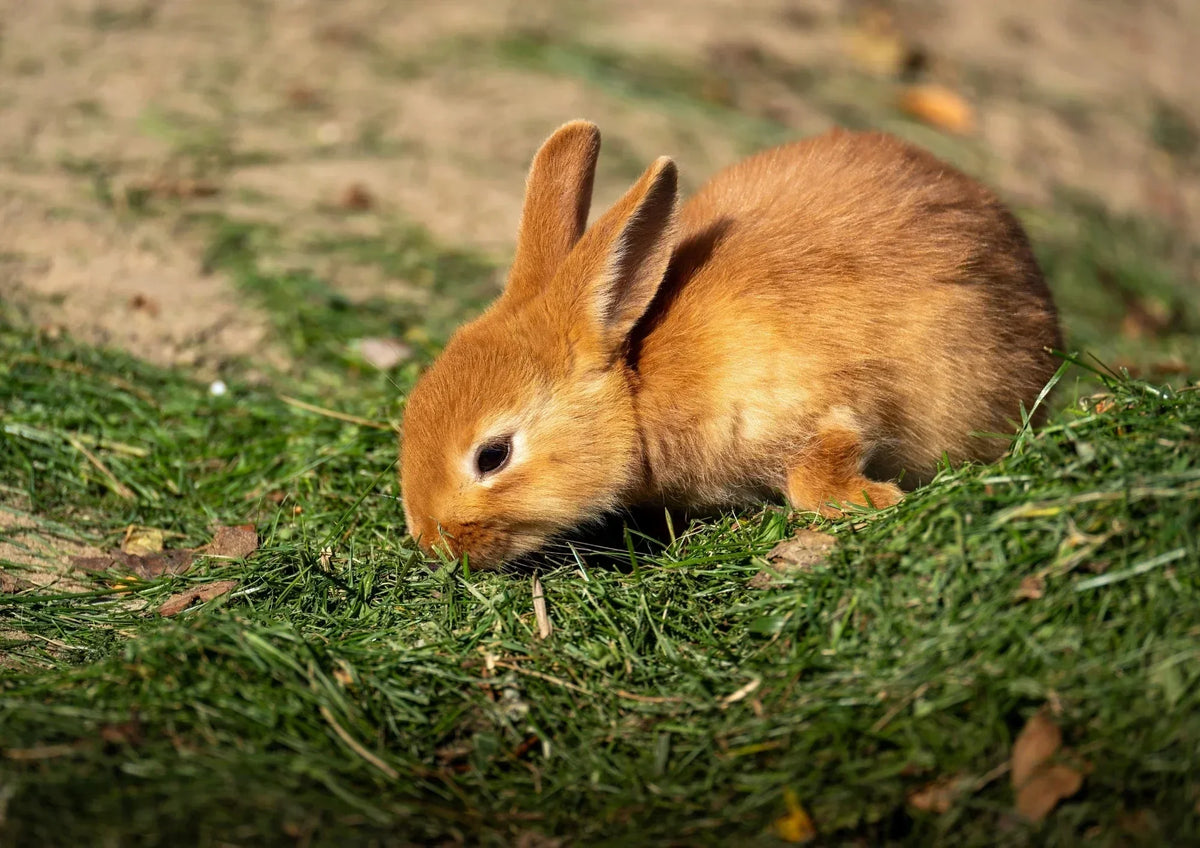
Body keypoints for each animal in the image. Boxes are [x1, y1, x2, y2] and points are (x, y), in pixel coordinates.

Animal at [400, 121, 1061, 569]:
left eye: (492, 456)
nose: (433, 543)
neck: (638, 390)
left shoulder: (823, 404)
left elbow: (817, 472)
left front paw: (875, 500)